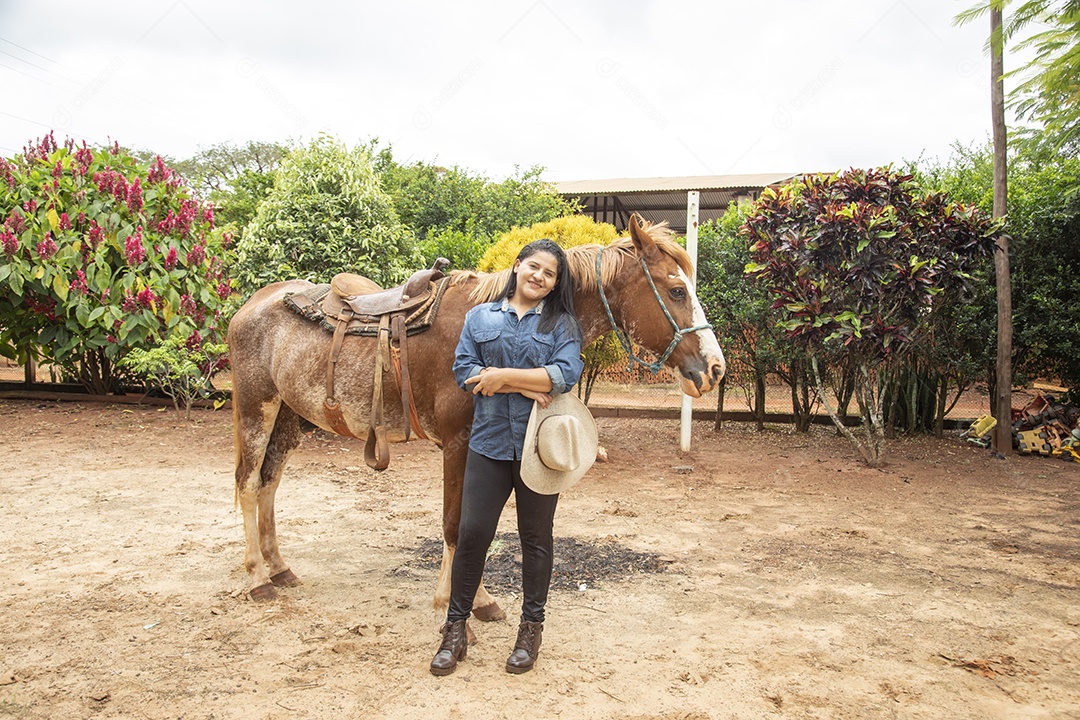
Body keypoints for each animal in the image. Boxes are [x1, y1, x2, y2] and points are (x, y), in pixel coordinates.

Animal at [227, 215, 726, 621]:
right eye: (676, 290)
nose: (715, 368)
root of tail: (253, 304)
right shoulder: (458, 443)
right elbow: (458, 524)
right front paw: (455, 602)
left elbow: (476, 525)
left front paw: (477, 600)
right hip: (256, 408)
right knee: (249, 483)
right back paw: (257, 579)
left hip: (288, 417)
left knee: (269, 482)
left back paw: (279, 569)